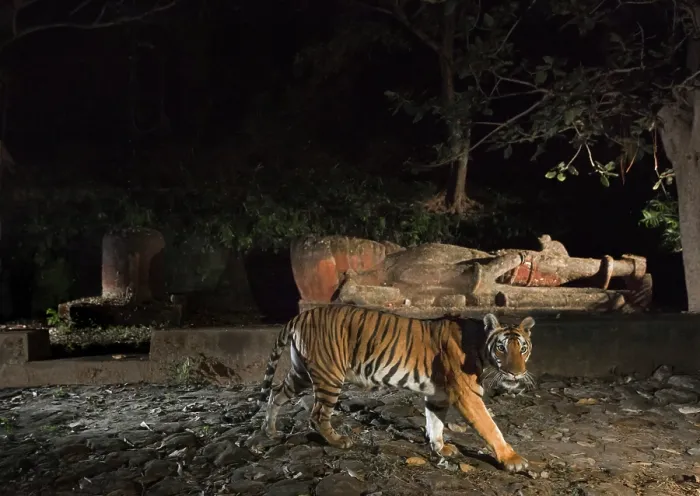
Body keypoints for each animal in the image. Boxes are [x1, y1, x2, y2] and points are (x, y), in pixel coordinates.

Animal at [256, 304, 535, 472]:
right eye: (501, 348)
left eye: (522, 349)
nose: (517, 372)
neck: (478, 343)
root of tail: (300, 315)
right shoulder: (467, 395)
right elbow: (491, 427)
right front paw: (512, 460)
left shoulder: (438, 396)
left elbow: (435, 424)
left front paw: (441, 448)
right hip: (329, 375)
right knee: (316, 414)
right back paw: (339, 441)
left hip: (301, 373)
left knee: (276, 393)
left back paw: (270, 430)